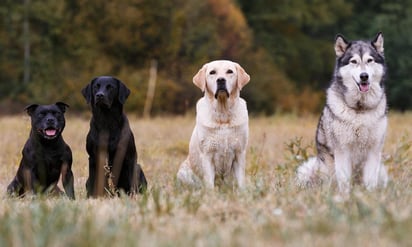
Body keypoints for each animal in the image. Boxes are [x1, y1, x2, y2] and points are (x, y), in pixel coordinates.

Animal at [177, 60, 251, 189]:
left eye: (229, 71)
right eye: (212, 72)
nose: (220, 80)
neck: (223, 114)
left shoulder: (239, 153)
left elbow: (241, 181)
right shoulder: (207, 155)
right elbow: (209, 183)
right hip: (183, 173)